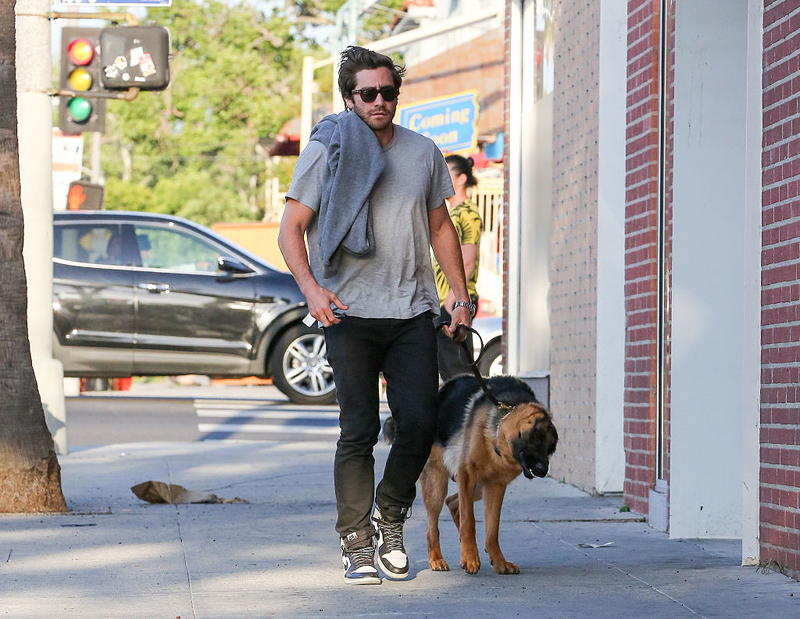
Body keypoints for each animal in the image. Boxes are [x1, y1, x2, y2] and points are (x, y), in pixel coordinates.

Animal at [386, 378, 556, 576]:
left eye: (550, 449)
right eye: (537, 439)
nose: (543, 471)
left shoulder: (495, 486)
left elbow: (492, 529)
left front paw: (498, 560)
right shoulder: (467, 474)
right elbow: (469, 521)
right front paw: (469, 557)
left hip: (478, 488)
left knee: (452, 502)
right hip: (438, 484)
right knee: (432, 526)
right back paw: (437, 559)